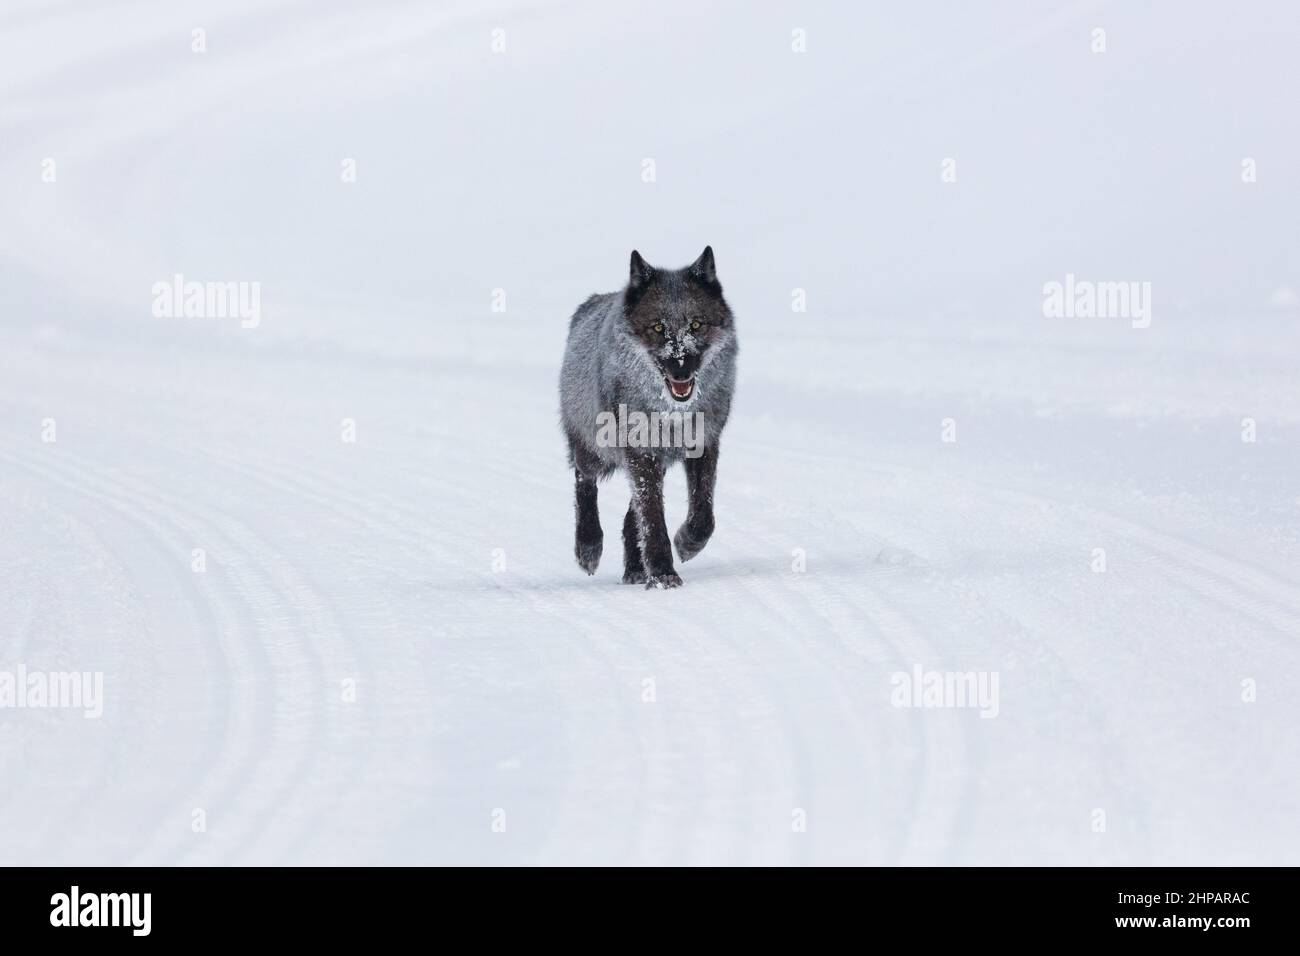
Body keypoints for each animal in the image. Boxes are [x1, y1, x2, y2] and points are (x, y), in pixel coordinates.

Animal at [561, 244, 743, 590]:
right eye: (658, 328)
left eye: (696, 325)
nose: (681, 368)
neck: (671, 416)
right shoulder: (640, 453)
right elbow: (653, 518)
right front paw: (662, 573)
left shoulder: (704, 444)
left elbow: (703, 513)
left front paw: (686, 543)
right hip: (595, 451)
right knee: (583, 481)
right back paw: (588, 546)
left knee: (630, 516)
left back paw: (634, 568)